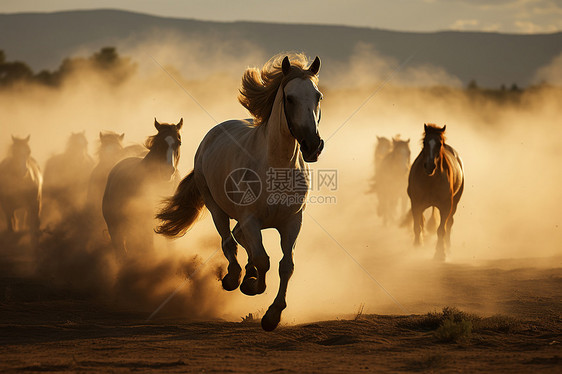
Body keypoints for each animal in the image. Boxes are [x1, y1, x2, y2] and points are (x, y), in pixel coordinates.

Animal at [155, 53, 322, 330]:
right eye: (289, 98)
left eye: (318, 96)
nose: (312, 146)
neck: (275, 167)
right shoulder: (251, 218)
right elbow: (263, 259)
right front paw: (252, 287)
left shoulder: (292, 221)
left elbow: (285, 266)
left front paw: (272, 315)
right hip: (216, 209)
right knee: (228, 241)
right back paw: (234, 278)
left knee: (239, 238)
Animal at [406, 124, 464, 262]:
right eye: (424, 142)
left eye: (439, 144)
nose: (429, 166)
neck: (430, 180)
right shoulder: (416, 204)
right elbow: (417, 226)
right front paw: (417, 248)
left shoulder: (446, 206)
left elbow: (441, 229)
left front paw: (440, 253)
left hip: (454, 204)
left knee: (449, 223)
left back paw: (448, 248)